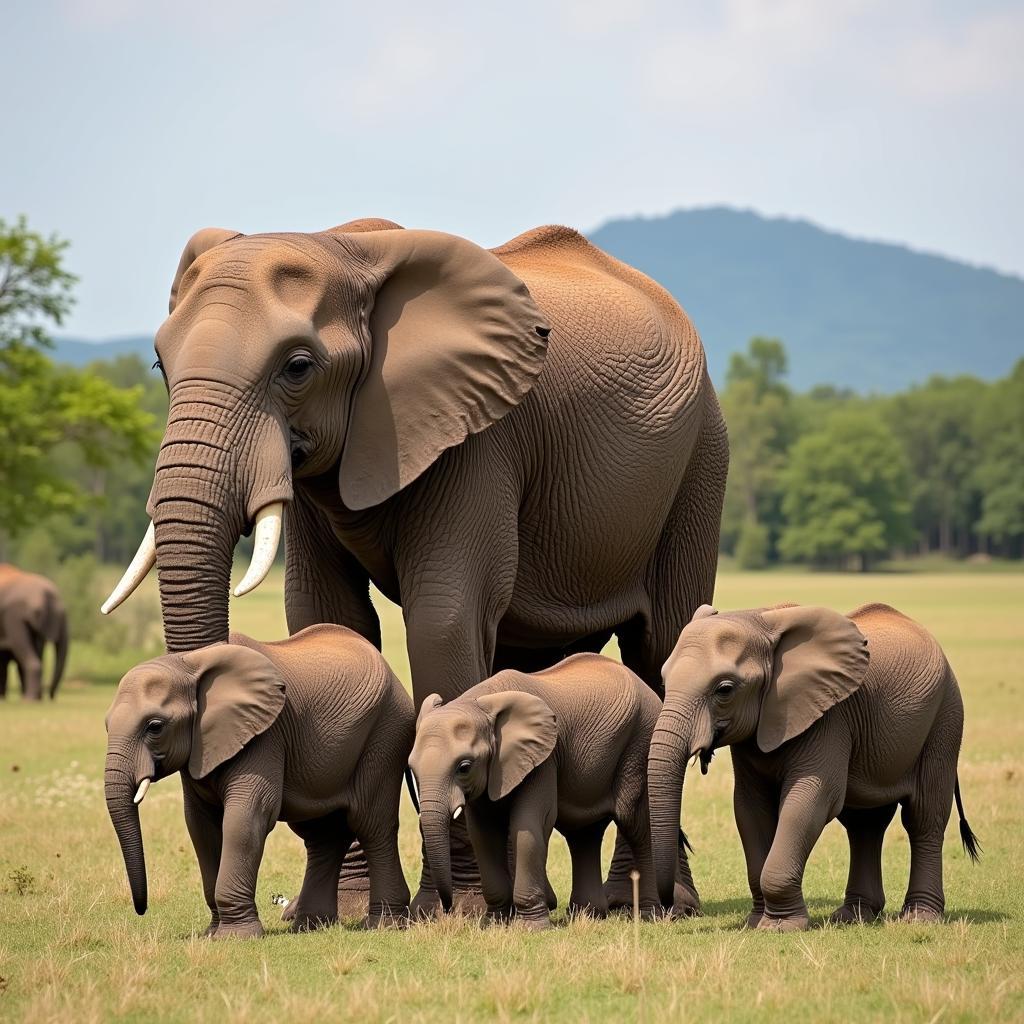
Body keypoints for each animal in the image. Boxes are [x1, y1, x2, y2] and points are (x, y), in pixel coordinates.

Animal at [101, 622, 409, 937]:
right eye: (107, 725)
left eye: (155, 727)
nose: (141, 909)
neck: (189, 664)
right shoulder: (201, 749)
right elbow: (201, 825)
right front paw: (212, 934)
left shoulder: (265, 735)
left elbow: (247, 817)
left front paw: (236, 937)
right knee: (324, 832)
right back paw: (310, 926)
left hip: (386, 733)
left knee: (370, 824)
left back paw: (382, 925)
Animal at [407, 655, 663, 929]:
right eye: (412, 769)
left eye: (464, 767)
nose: (446, 907)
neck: (479, 703)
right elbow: (483, 833)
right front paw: (495, 923)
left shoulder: (545, 758)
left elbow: (528, 825)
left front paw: (531, 928)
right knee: (584, 834)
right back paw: (588, 916)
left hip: (640, 741)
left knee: (635, 825)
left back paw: (650, 916)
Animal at [647, 602, 974, 933]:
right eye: (663, 682)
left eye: (724, 690)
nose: (671, 909)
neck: (759, 619)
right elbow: (749, 807)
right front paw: (756, 922)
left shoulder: (829, 717)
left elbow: (810, 800)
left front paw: (780, 927)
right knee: (865, 824)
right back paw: (853, 916)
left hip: (945, 718)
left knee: (924, 817)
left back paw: (920, 918)